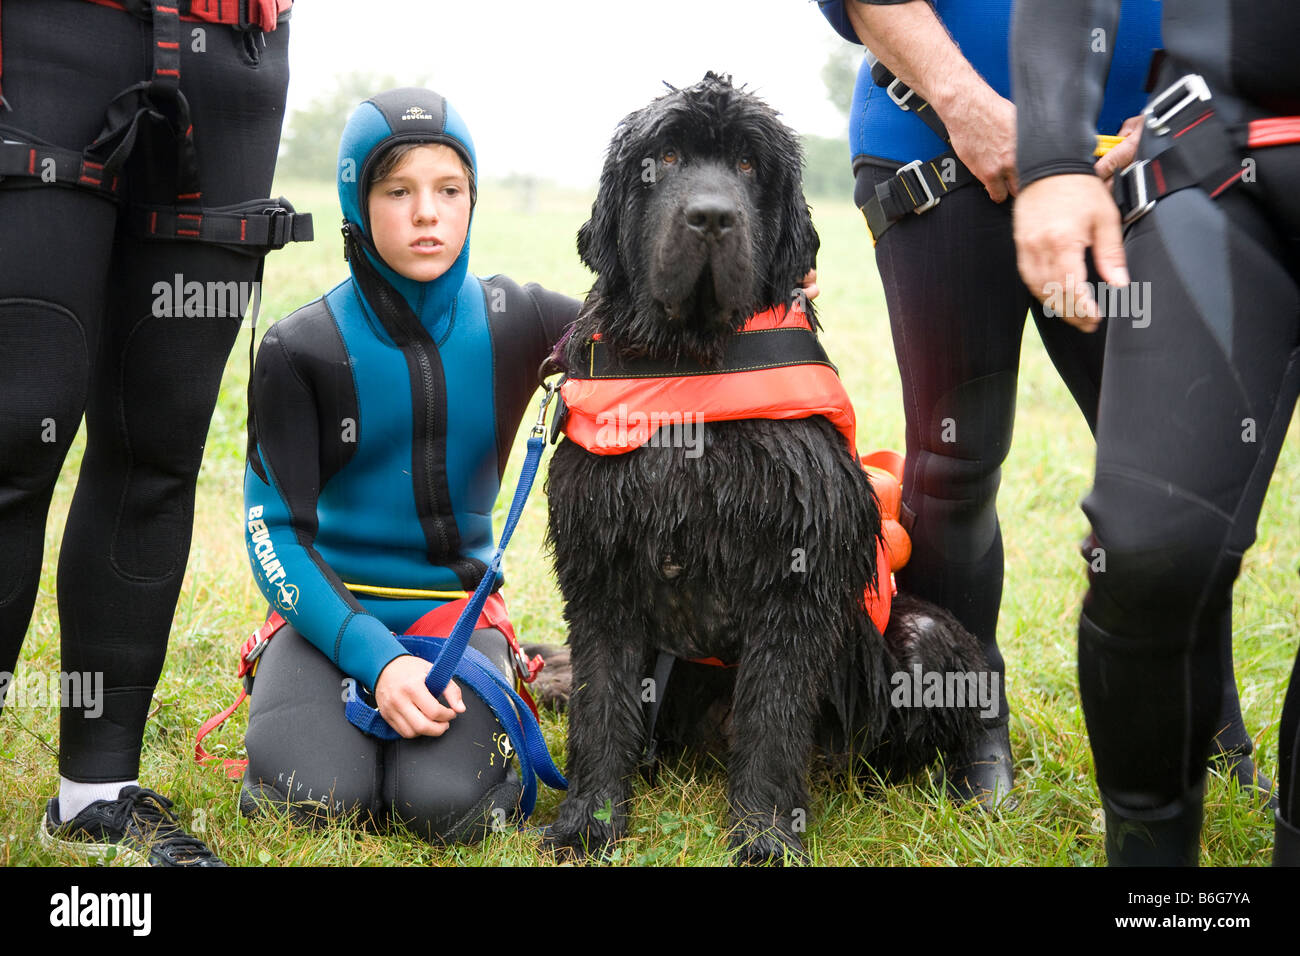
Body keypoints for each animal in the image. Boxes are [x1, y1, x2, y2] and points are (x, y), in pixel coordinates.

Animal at [543, 76, 977, 868]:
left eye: (749, 166)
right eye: (666, 156)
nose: (711, 217)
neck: (693, 369)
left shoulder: (793, 576)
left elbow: (773, 718)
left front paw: (766, 835)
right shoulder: (602, 563)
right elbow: (601, 703)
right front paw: (589, 821)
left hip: (920, 645)